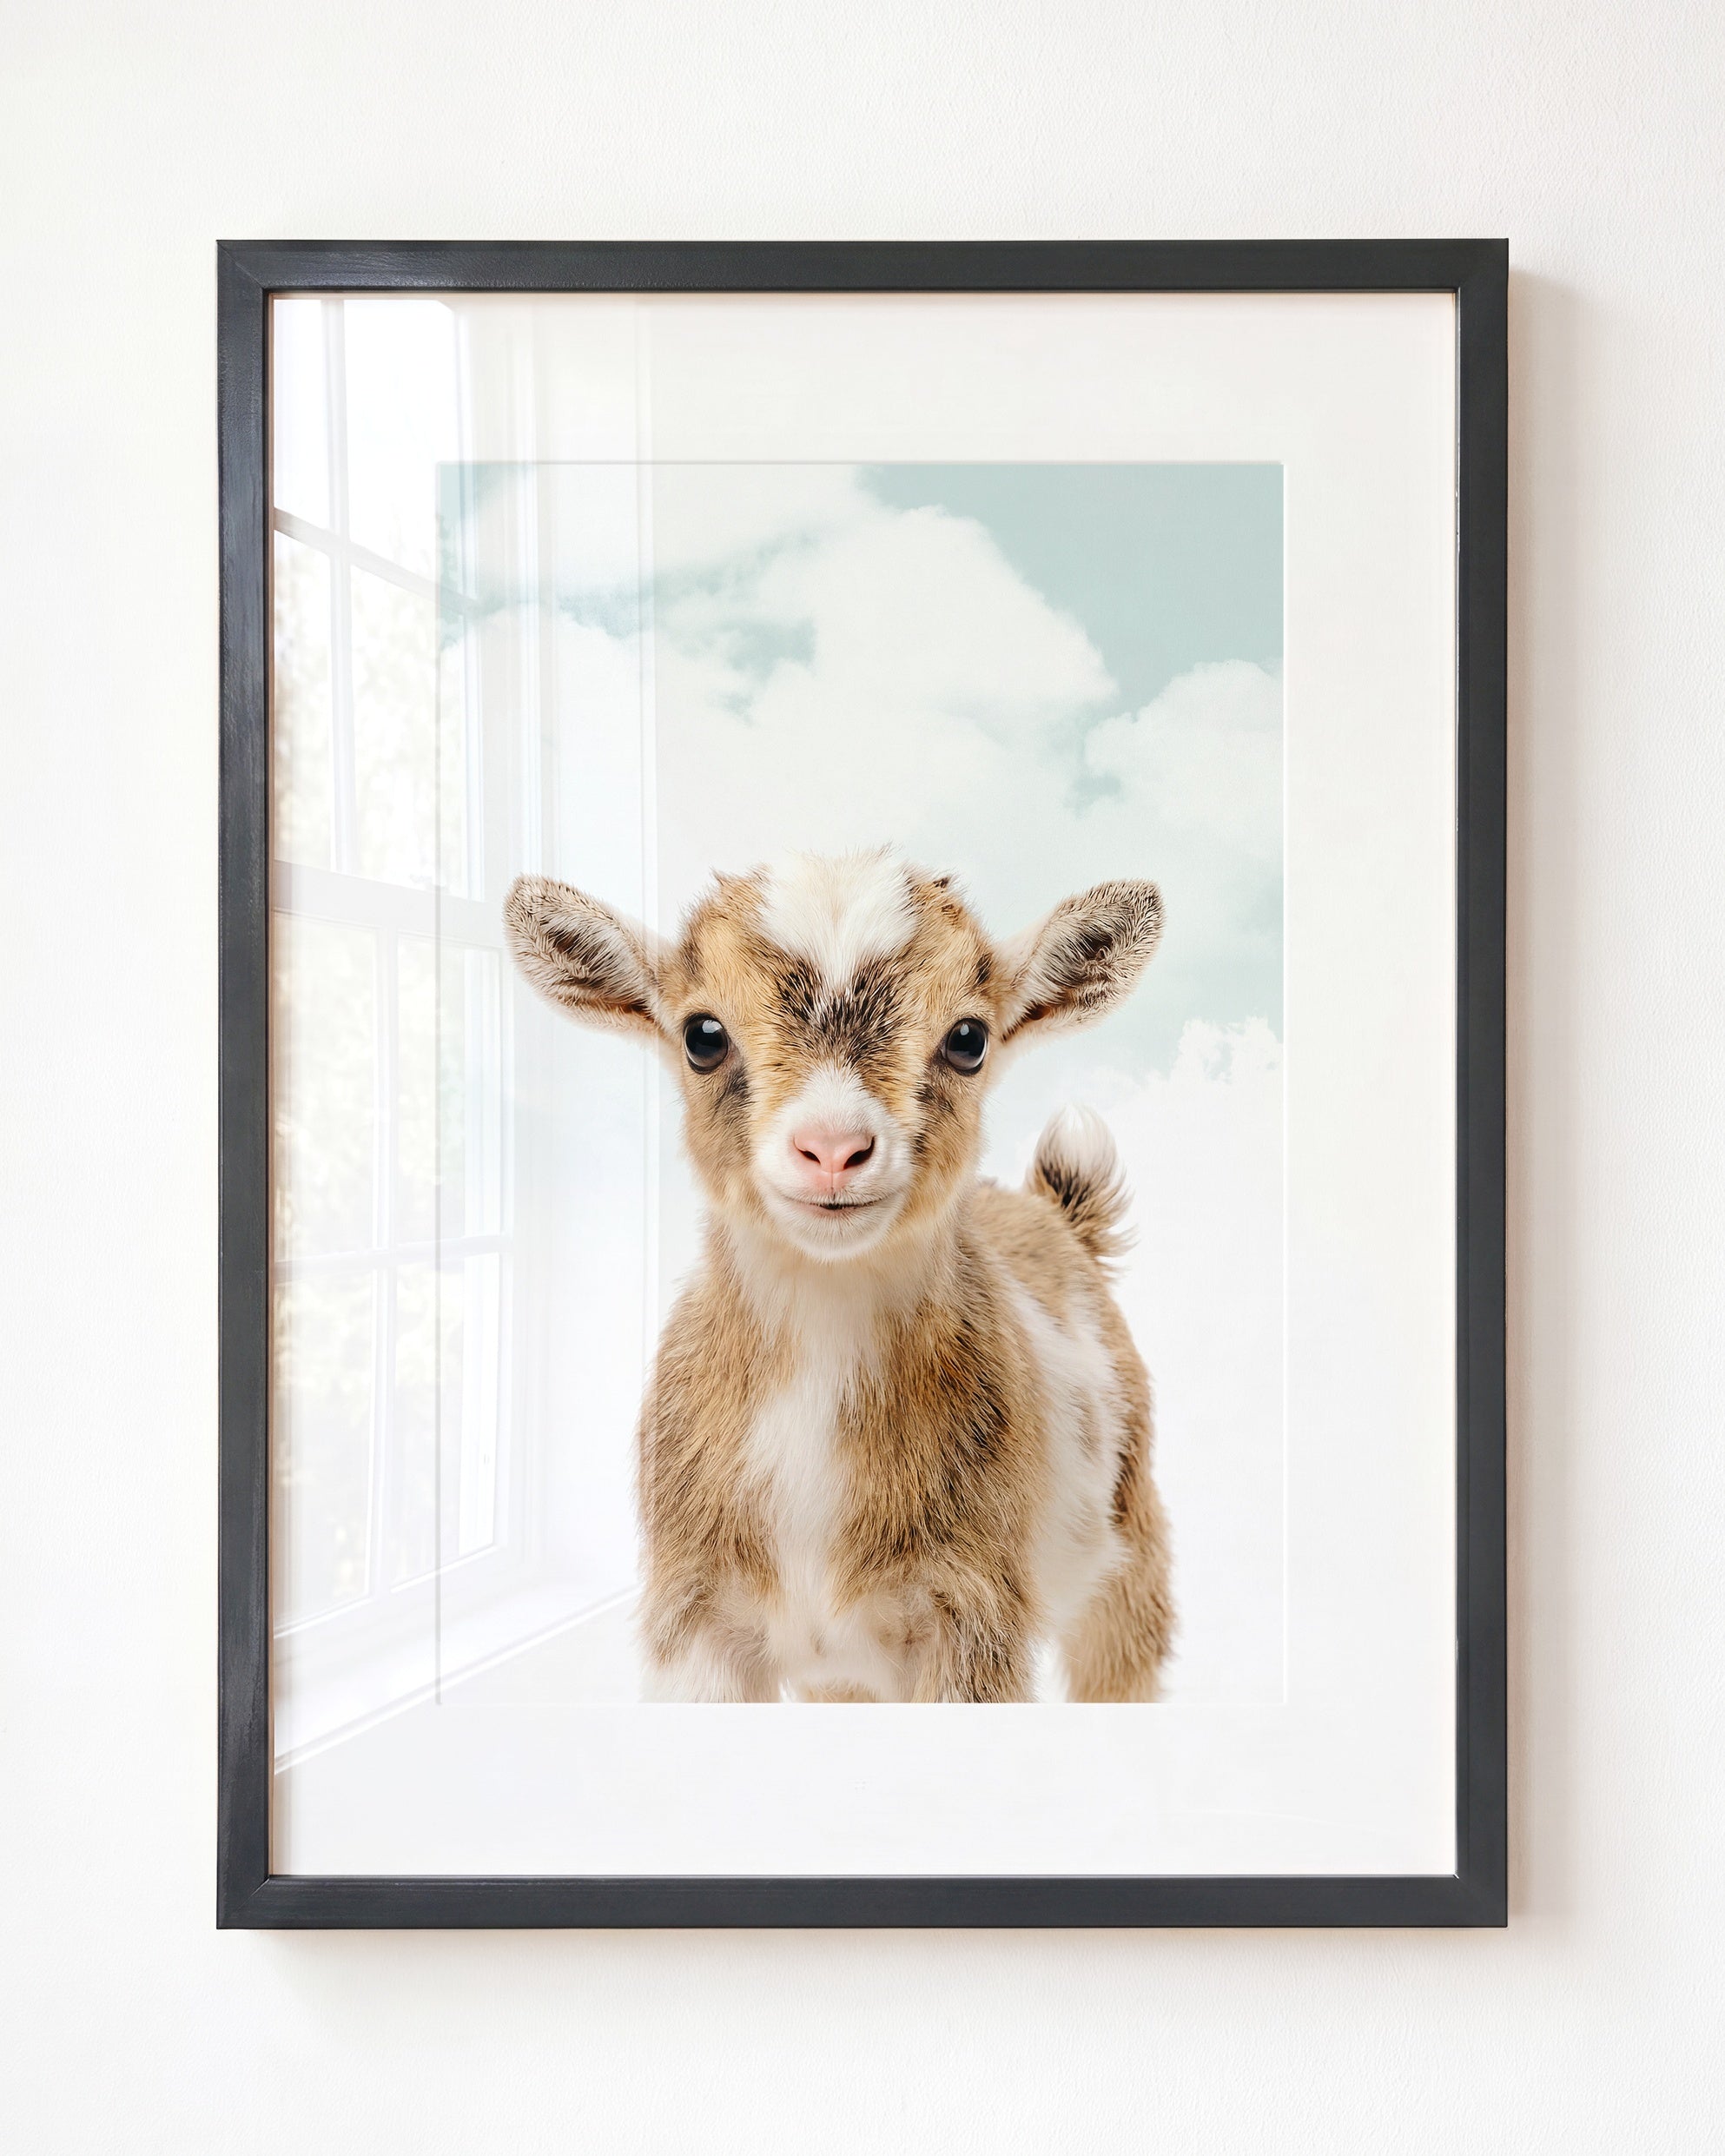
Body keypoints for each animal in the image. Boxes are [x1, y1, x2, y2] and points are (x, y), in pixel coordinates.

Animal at [504, 848, 1174, 1702]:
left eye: (968, 1038)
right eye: (702, 1035)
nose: (831, 1148)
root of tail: (1057, 1215)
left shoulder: (974, 1613)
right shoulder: (694, 1616)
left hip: (1132, 1547)